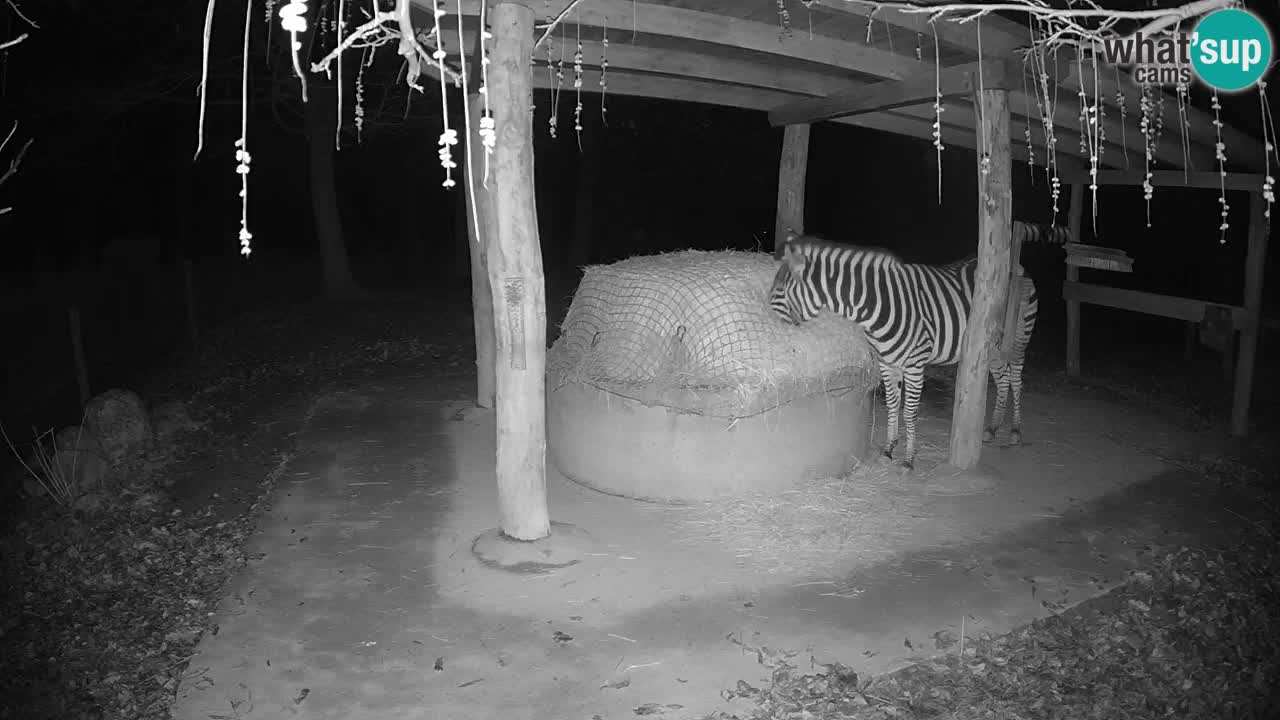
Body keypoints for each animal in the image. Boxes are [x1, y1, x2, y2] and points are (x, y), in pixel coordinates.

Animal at [762, 225, 1064, 471]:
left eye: (779, 291)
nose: (768, 320)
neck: (875, 307)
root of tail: (1018, 266)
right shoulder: (887, 363)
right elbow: (893, 404)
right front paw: (889, 449)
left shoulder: (915, 364)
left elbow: (909, 411)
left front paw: (908, 460)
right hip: (990, 345)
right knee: (1002, 380)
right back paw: (992, 428)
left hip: (1019, 337)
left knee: (1015, 379)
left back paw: (1014, 431)